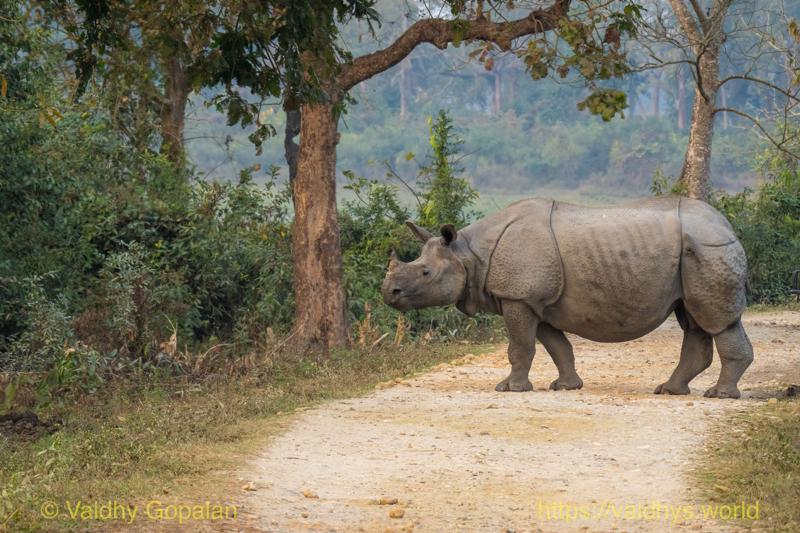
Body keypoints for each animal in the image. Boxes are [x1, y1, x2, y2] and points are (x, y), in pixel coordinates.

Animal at [381, 197, 753, 399]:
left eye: (425, 273)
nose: (389, 293)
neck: (468, 254)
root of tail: (728, 226)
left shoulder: (518, 297)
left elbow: (521, 347)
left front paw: (509, 389)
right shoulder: (536, 301)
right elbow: (556, 346)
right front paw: (566, 386)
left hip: (708, 248)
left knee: (717, 321)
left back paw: (718, 395)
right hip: (695, 252)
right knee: (694, 320)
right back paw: (669, 391)